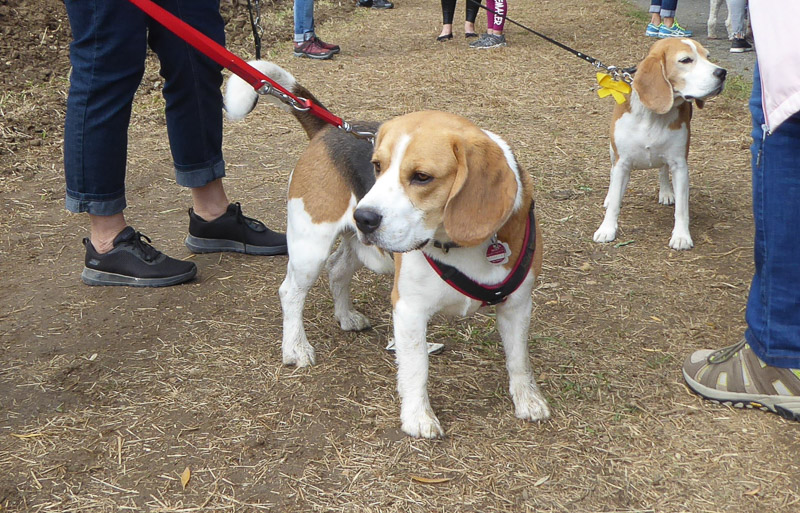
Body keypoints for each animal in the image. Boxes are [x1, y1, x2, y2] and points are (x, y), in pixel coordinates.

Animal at [225, 59, 552, 436]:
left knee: (338, 269)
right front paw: (418, 418)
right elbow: (416, 368)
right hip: (311, 245)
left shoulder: (517, 304)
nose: (364, 217)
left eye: (422, 177)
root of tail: (327, 128)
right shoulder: (409, 308)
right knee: (290, 291)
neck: (458, 243)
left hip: (358, 247)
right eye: (377, 167)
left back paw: (346, 316)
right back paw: (296, 347)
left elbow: (519, 359)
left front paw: (528, 400)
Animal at [592, 38, 724, 250]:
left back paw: (666, 191)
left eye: (708, 56)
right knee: (612, 174)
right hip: (613, 153)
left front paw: (681, 236)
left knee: (662, 169)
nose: (722, 73)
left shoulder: (680, 165)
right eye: (686, 60)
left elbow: (682, 208)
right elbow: (614, 203)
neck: (652, 116)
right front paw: (607, 228)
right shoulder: (622, 163)